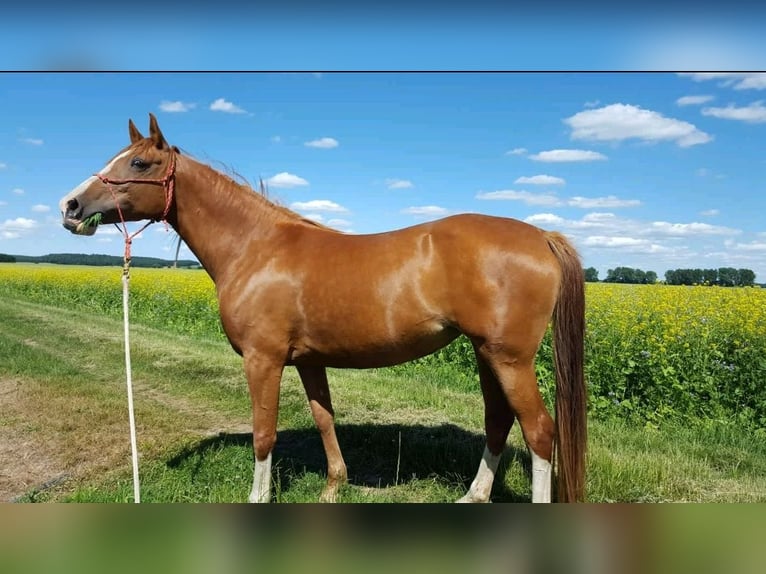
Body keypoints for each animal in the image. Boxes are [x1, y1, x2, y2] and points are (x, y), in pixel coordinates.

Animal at [58, 113, 588, 504]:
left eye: (140, 163)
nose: (69, 206)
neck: (255, 247)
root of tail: (541, 236)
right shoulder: (309, 361)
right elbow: (324, 419)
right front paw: (335, 486)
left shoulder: (264, 360)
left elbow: (264, 434)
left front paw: (259, 497)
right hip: (486, 354)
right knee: (498, 421)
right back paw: (473, 496)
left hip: (509, 359)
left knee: (540, 432)